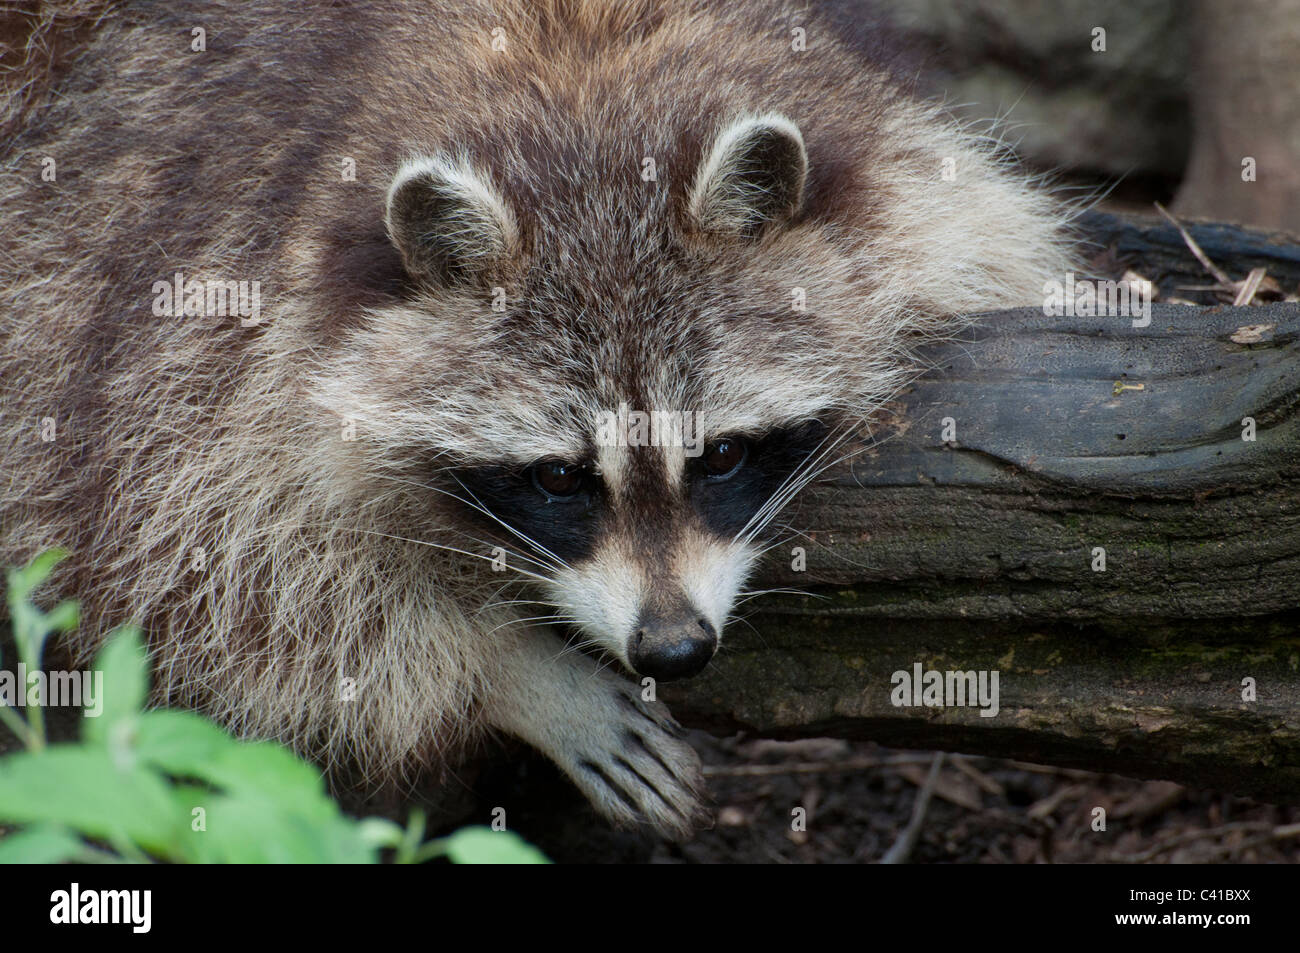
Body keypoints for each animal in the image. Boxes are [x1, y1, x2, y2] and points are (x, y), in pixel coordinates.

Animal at [0, 0, 1071, 837]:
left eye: (723, 455)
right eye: (559, 477)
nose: (673, 648)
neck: (574, 84)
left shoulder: (906, 167)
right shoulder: (183, 306)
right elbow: (217, 581)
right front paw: (510, 673)